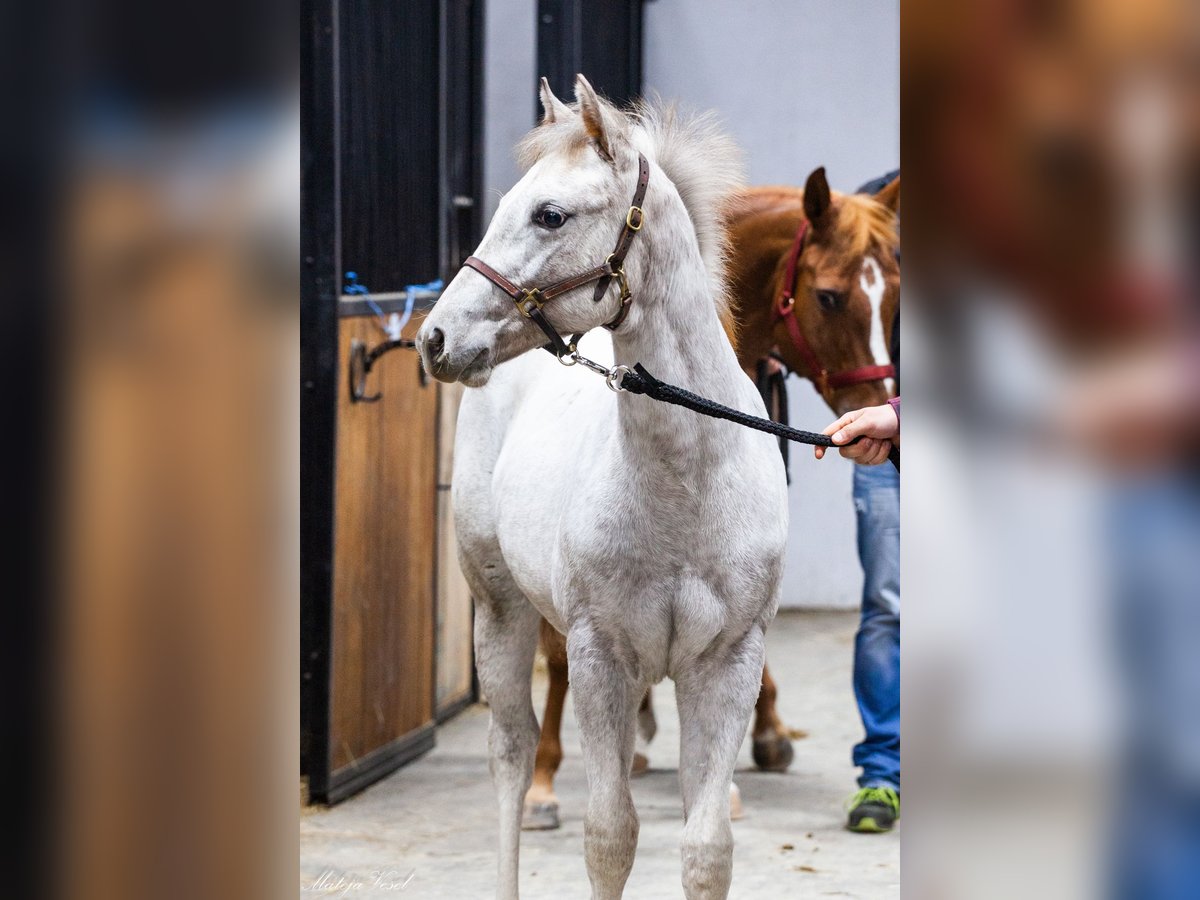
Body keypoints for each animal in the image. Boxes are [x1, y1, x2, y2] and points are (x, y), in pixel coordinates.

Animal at [417, 79, 792, 900]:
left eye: (550, 214)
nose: (435, 338)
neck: (687, 487)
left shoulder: (727, 664)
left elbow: (706, 848)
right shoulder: (601, 658)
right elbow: (610, 837)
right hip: (500, 608)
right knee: (510, 749)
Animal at [520, 168, 897, 830]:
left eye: (897, 296)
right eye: (829, 297)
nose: (877, 405)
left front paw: (762, 740)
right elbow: (565, 655)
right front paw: (545, 784)